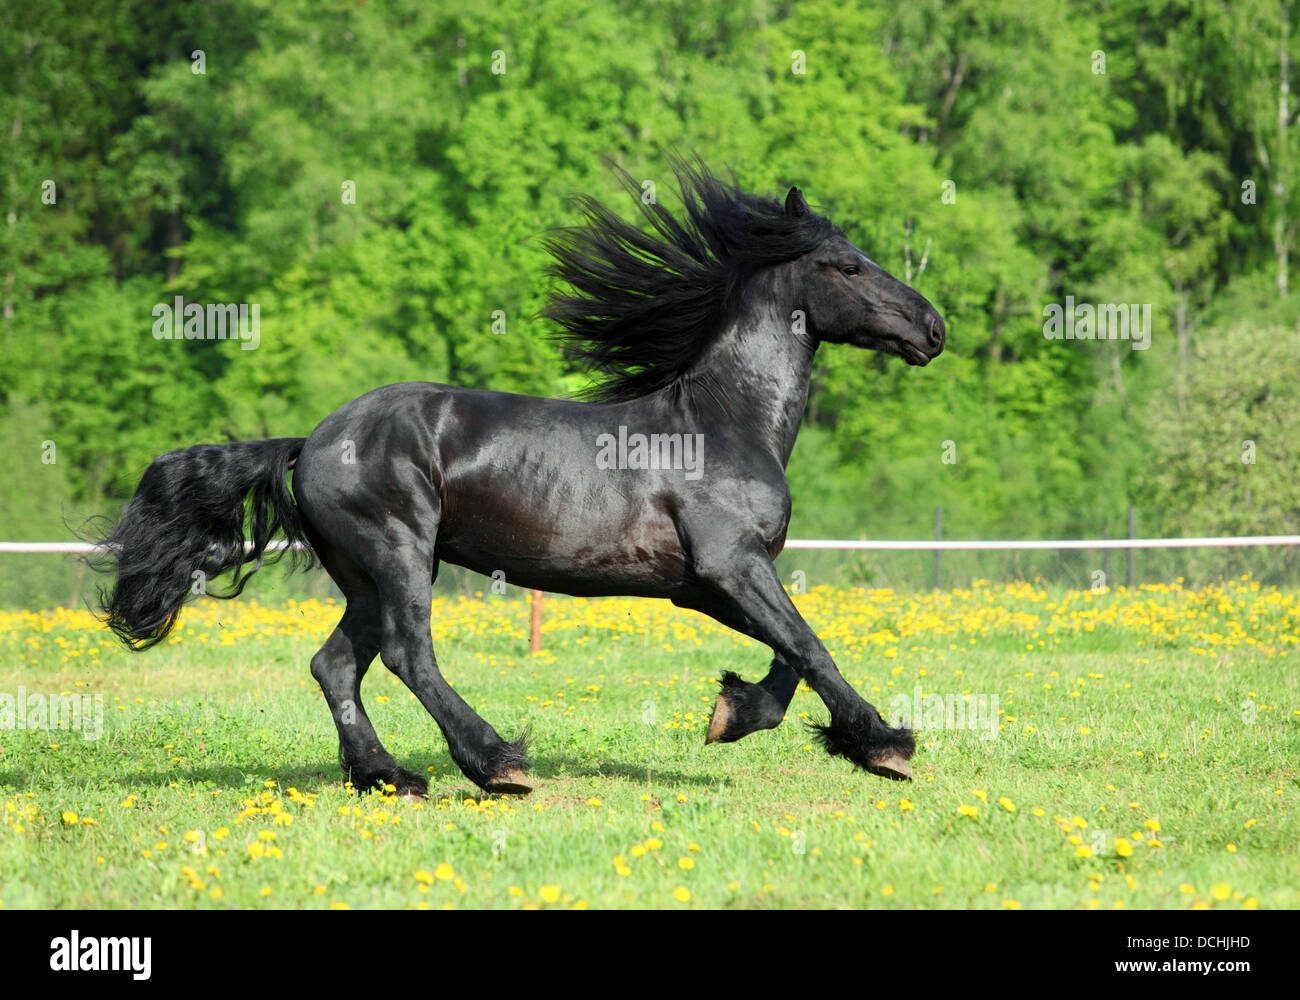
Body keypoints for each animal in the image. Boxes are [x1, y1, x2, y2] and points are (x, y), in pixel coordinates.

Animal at [94, 161, 946, 795]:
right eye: (846, 265)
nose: (933, 327)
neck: (721, 422)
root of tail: (314, 441)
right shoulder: (728, 565)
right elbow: (810, 645)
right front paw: (884, 745)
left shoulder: (708, 583)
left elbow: (790, 656)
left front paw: (732, 713)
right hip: (399, 555)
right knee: (408, 655)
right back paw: (498, 763)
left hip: (366, 574)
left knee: (334, 663)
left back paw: (387, 776)